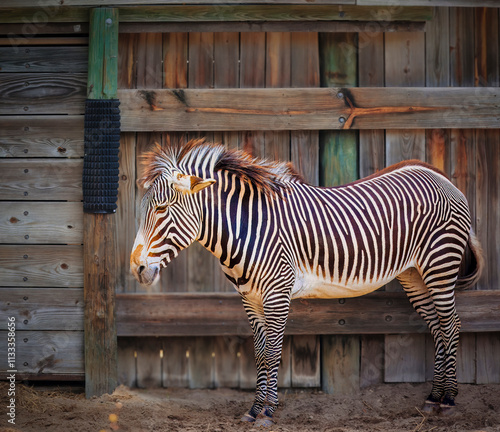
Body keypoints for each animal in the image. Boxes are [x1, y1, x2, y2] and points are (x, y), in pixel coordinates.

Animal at [131, 138, 482, 426]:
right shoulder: (250, 298)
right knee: (438, 328)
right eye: (144, 210)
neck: (246, 228)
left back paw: (449, 400)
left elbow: (273, 351)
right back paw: (433, 397)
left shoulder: (277, 292)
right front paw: (254, 409)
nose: (137, 268)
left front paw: (268, 411)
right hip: (414, 275)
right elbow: (260, 352)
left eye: (161, 209)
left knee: (451, 326)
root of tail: (439, 176)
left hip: (440, 265)